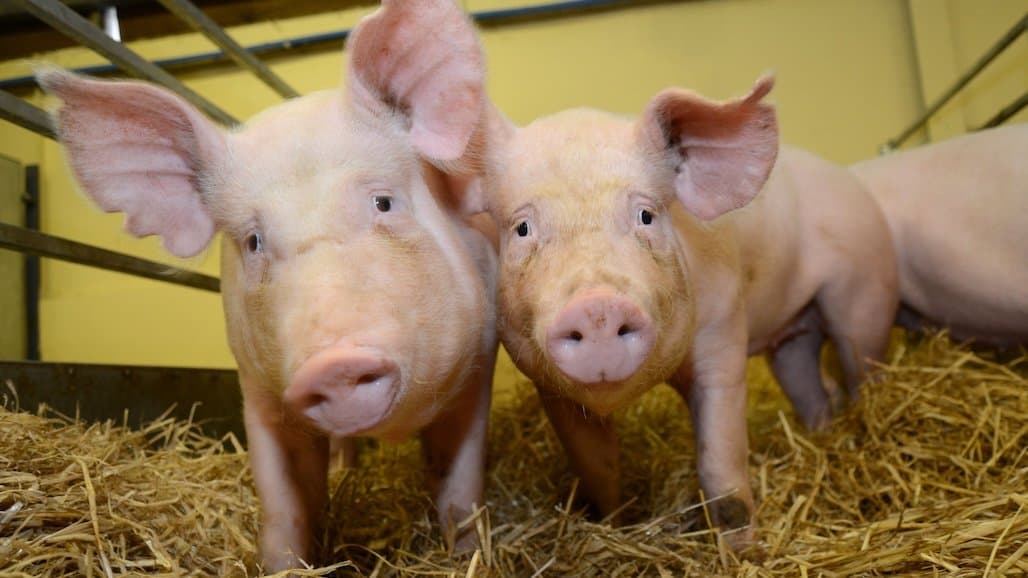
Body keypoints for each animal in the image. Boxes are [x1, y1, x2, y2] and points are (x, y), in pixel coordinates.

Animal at [37, 0, 496, 570]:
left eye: (384, 202)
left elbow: (459, 487)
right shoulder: (257, 393)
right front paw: (285, 565)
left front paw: (466, 555)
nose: (333, 364)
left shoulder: (480, 361)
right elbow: (284, 504)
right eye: (253, 241)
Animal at [462, 77, 899, 548]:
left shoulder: (723, 331)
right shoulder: (549, 387)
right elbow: (598, 466)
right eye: (522, 229)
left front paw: (740, 550)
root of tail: (854, 184)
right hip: (793, 339)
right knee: (808, 385)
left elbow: (720, 465)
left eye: (646, 215)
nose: (597, 307)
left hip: (865, 293)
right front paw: (615, 524)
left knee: (862, 367)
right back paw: (821, 430)